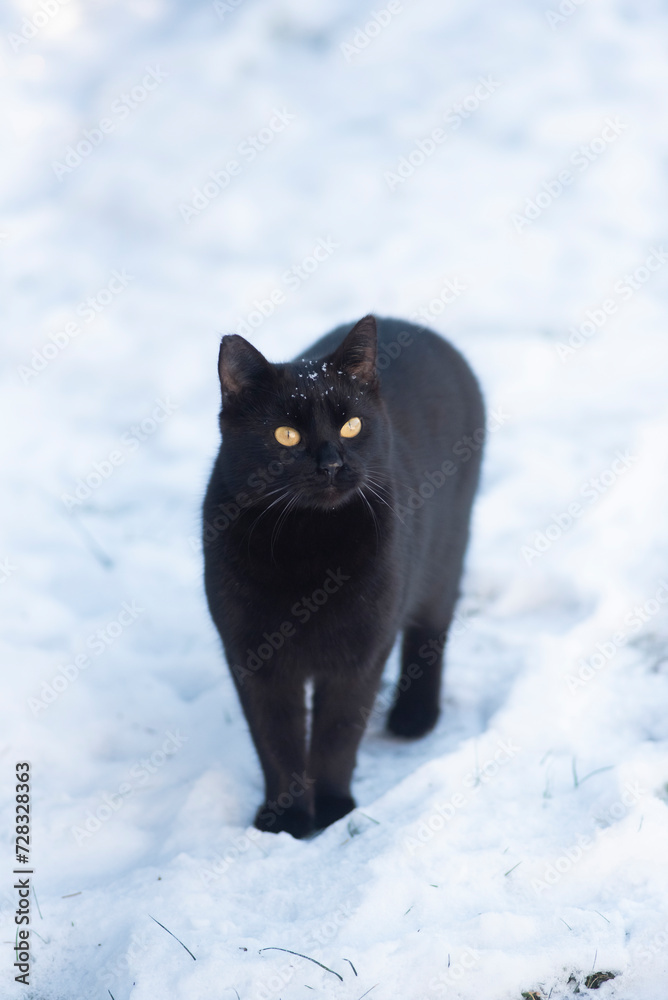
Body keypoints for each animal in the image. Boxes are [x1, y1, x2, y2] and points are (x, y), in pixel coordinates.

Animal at [201, 312, 482, 836]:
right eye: (286, 435)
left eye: (352, 425)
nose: (332, 463)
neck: (307, 544)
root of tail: (415, 326)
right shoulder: (254, 656)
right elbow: (276, 741)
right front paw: (286, 820)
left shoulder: (361, 652)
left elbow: (337, 734)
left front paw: (332, 811)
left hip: (446, 554)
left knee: (431, 628)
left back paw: (415, 716)